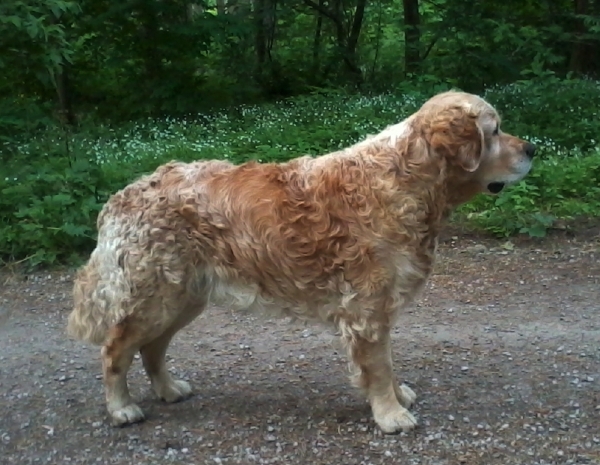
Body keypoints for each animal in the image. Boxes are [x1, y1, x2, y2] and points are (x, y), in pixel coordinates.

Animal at [67, 91, 535, 434]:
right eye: (494, 131)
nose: (531, 147)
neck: (407, 179)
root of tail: (122, 194)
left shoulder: (378, 309)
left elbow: (386, 363)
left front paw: (396, 398)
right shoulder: (367, 309)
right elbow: (378, 365)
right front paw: (391, 414)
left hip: (184, 297)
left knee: (152, 347)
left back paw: (167, 388)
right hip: (154, 296)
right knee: (116, 349)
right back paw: (121, 408)